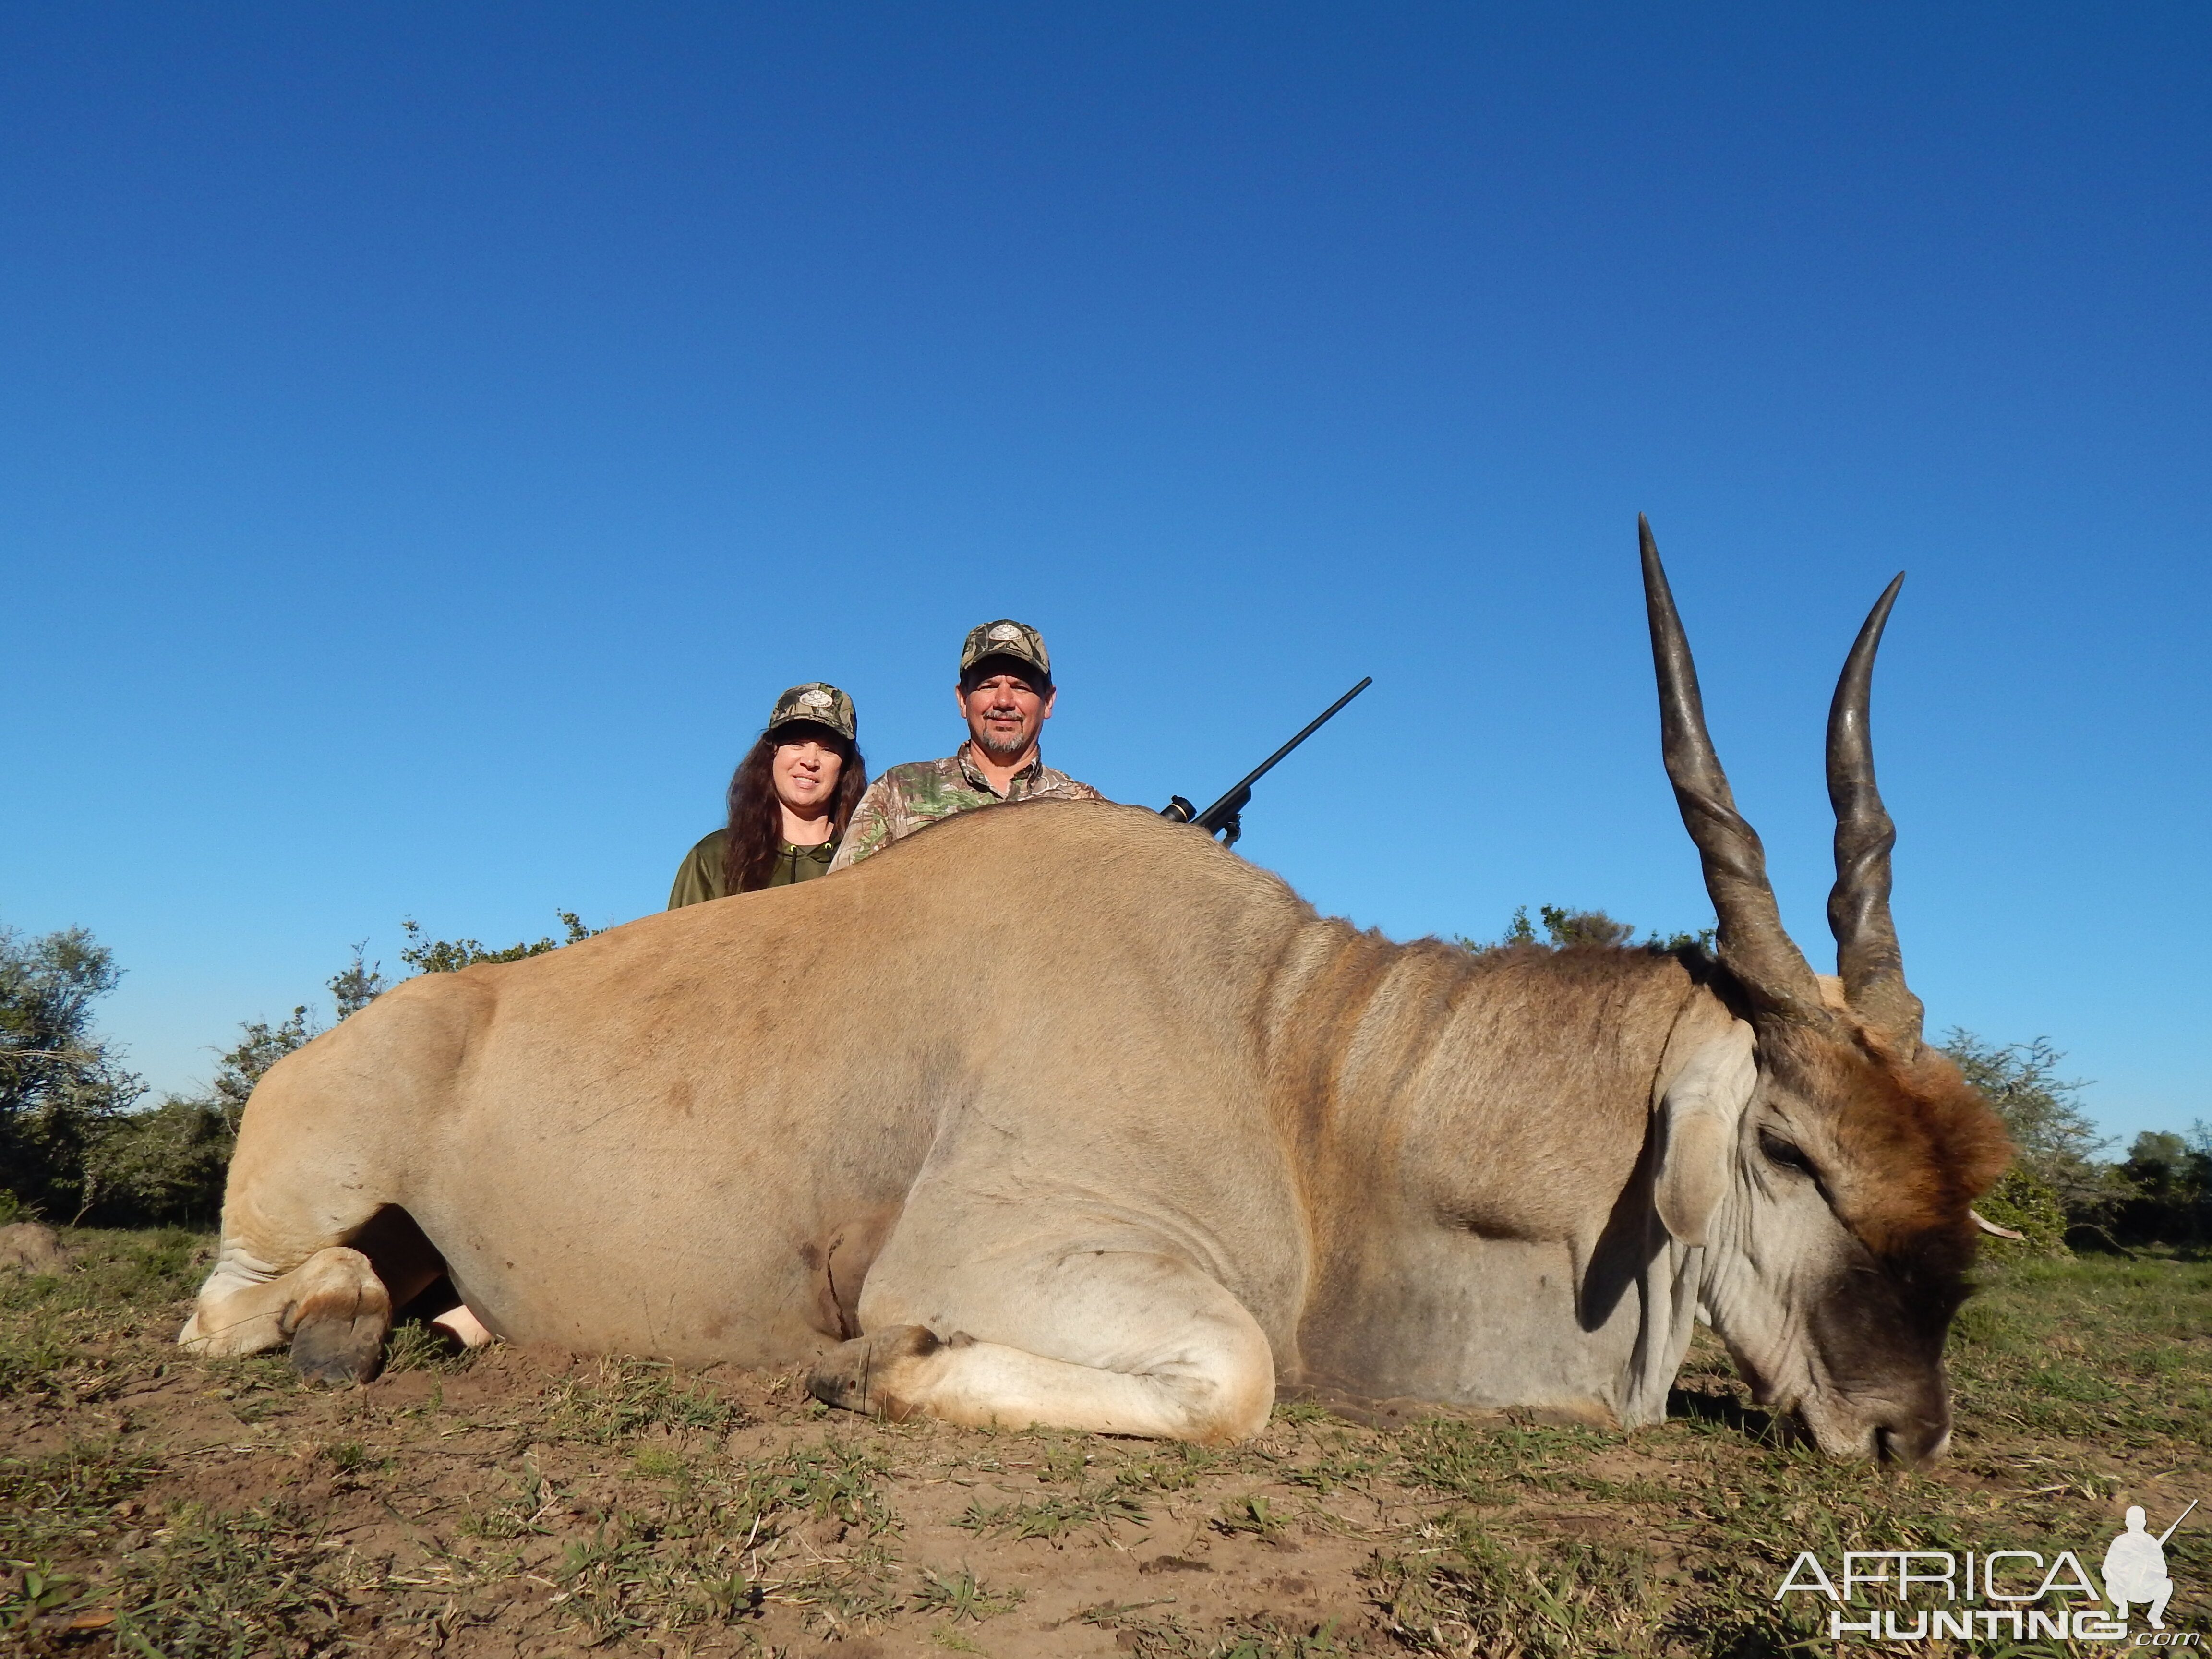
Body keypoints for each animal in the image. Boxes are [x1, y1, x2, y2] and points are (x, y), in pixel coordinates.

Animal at [177, 522, 2008, 1468]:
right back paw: (338, 1324)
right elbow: (1236, 1383)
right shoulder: (1006, 1260)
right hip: (295, 1198)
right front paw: (864, 1372)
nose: (1904, 1436)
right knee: (231, 1311)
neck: (1293, 1059)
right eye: (1785, 1148)